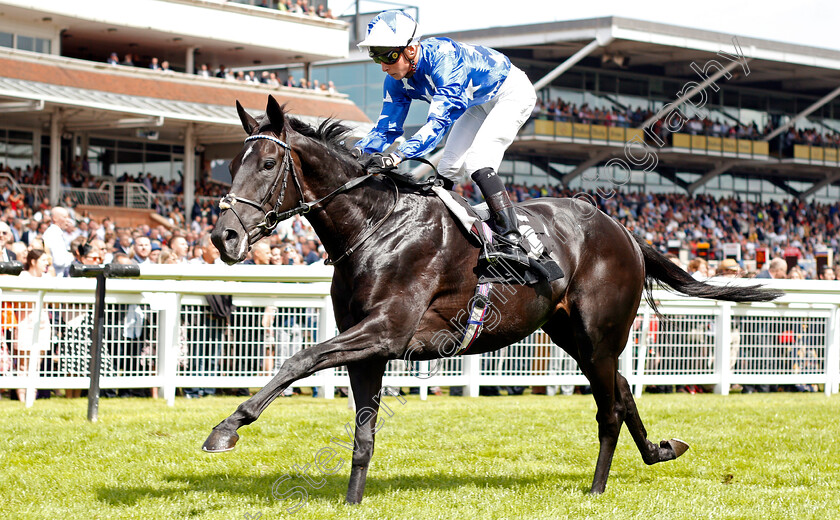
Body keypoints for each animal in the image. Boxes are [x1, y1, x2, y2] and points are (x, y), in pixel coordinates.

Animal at [203, 95, 780, 502]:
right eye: (231, 164)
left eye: (267, 163)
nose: (223, 237)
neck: (376, 227)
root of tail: (623, 230)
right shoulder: (369, 347)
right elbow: (361, 433)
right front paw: (352, 502)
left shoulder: (385, 330)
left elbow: (298, 359)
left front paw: (227, 428)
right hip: (572, 335)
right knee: (622, 391)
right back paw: (660, 450)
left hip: (599, 335)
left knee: (610, 405)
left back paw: (597, 489)